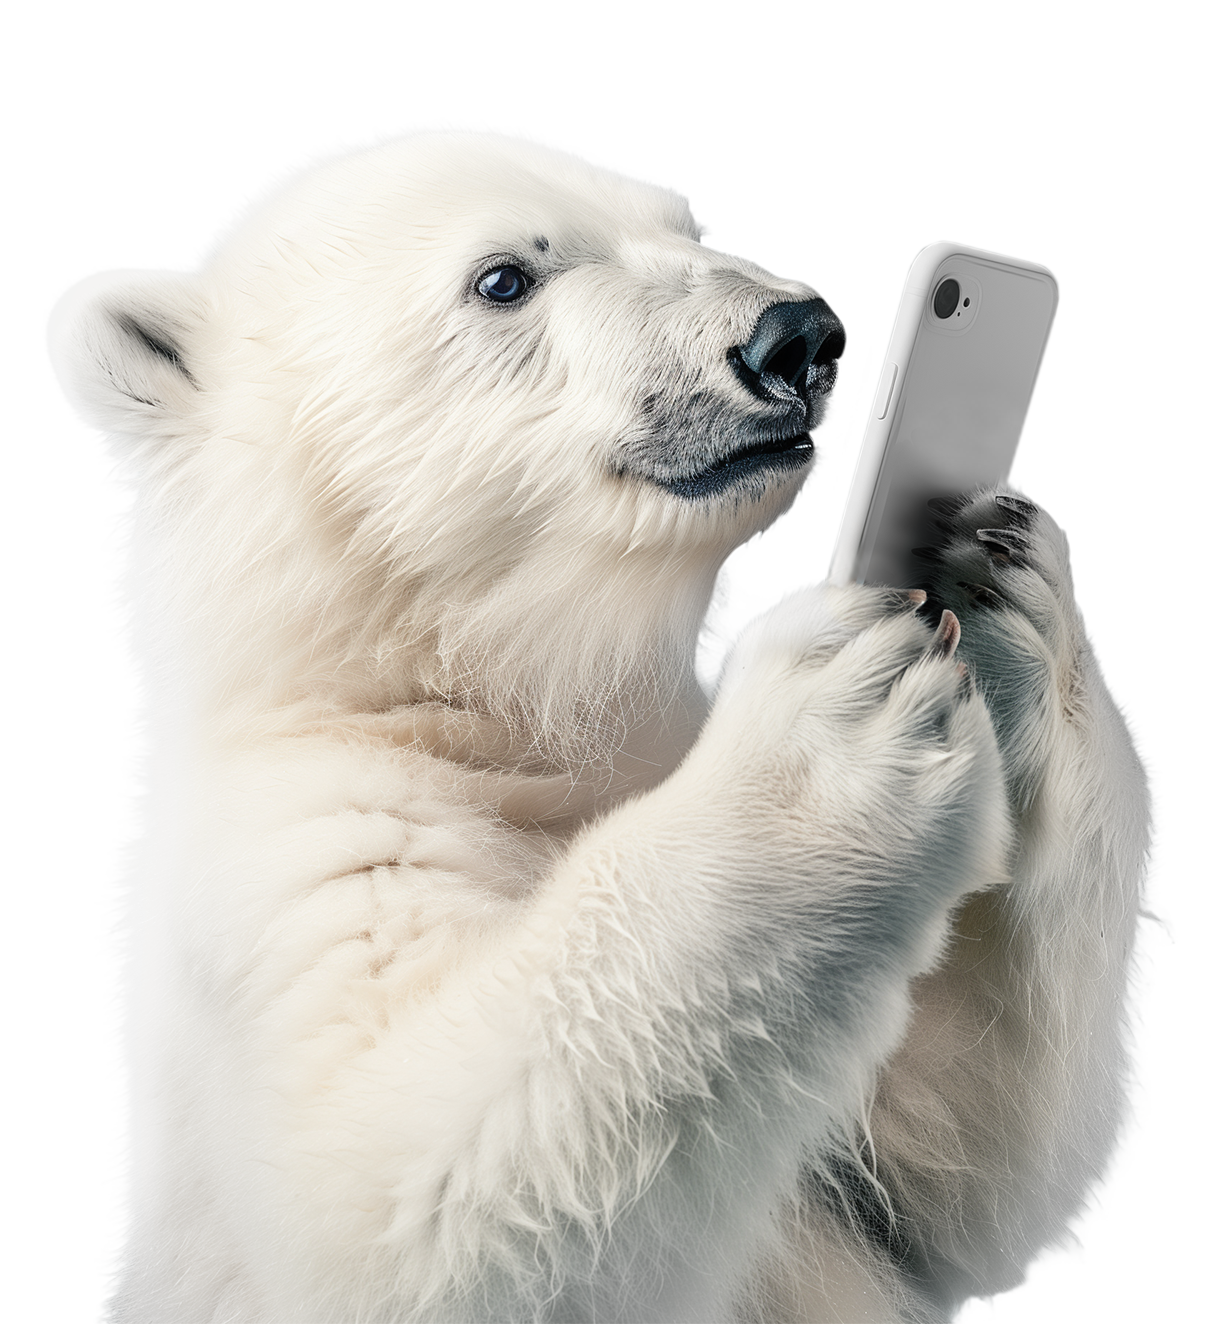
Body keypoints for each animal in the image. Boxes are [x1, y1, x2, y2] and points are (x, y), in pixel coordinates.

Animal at [71, 134, 1151, 1324]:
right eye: (505, 277)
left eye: (687, 227)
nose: (798, 335)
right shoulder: (306, 851)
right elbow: (403, 1212)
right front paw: (822, 739)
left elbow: (941, 1158)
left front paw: (1005, 584)